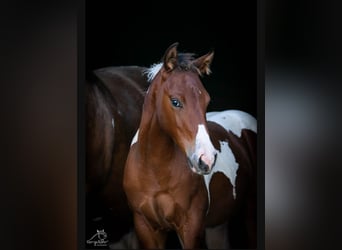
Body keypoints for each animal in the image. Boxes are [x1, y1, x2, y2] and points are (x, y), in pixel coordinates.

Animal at [123, 43, 256, 248]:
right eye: (175, 101)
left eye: (206, 101)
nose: (206, 159)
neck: (154, 172)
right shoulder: (146, 227)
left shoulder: (190, 228)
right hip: (217, 226)